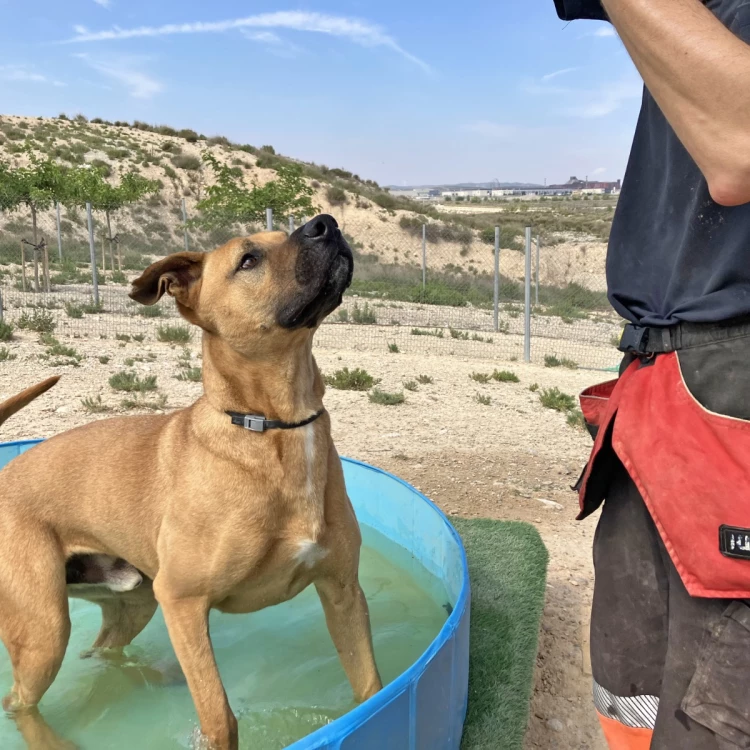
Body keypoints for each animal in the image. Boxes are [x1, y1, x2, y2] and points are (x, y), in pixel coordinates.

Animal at [0, 214, 382, 748]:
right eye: (248, 259)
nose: (325, 223)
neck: (273, 428)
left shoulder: (343, 591)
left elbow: (370, 687)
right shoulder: (183, 602)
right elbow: (220, 718)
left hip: (132, 601)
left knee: (101, 650)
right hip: (44, 630)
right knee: (18, 702)